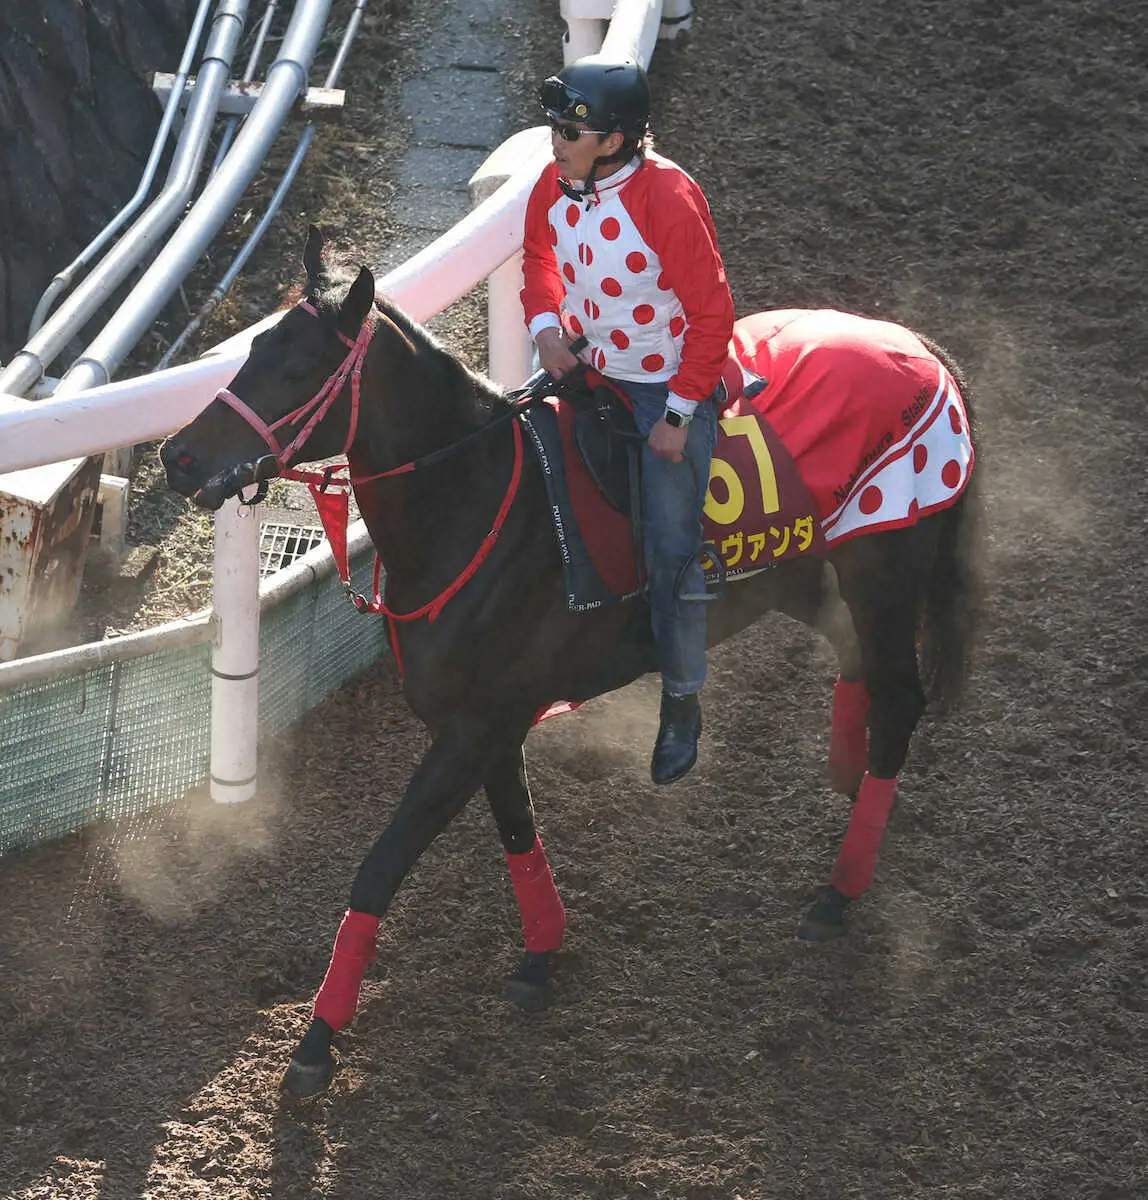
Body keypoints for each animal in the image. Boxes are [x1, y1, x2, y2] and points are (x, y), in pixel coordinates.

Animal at [160, 225, 978, 1099]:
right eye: (253, 348)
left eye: (296, 367)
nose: (178, 457)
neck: (478, 501)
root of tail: (922, 350)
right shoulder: (486, 723)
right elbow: (517, 828)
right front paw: (540, 953)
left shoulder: (476, 725)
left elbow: (380, 867)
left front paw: (316, 1040)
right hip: (816, 577)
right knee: (861, 672)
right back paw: (847, 780)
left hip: (885, 572)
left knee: (900, 701)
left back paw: (838, 889)